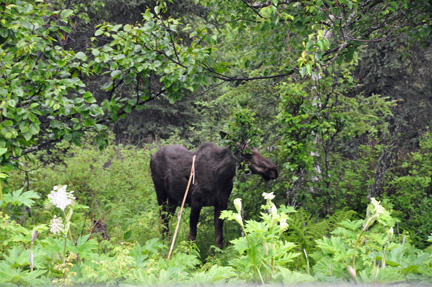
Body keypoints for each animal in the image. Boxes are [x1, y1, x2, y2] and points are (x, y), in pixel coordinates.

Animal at [150, 142, 278, 250]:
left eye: (257, 150)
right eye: (247, 155)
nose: (273, 170)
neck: (222, 176)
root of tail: (152, 156)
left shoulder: (221, 203)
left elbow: (219, 238)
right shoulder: (196, 202)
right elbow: (192, 236)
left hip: (174, 199)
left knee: (167, 221)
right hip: (160, 194)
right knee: (163, 220)